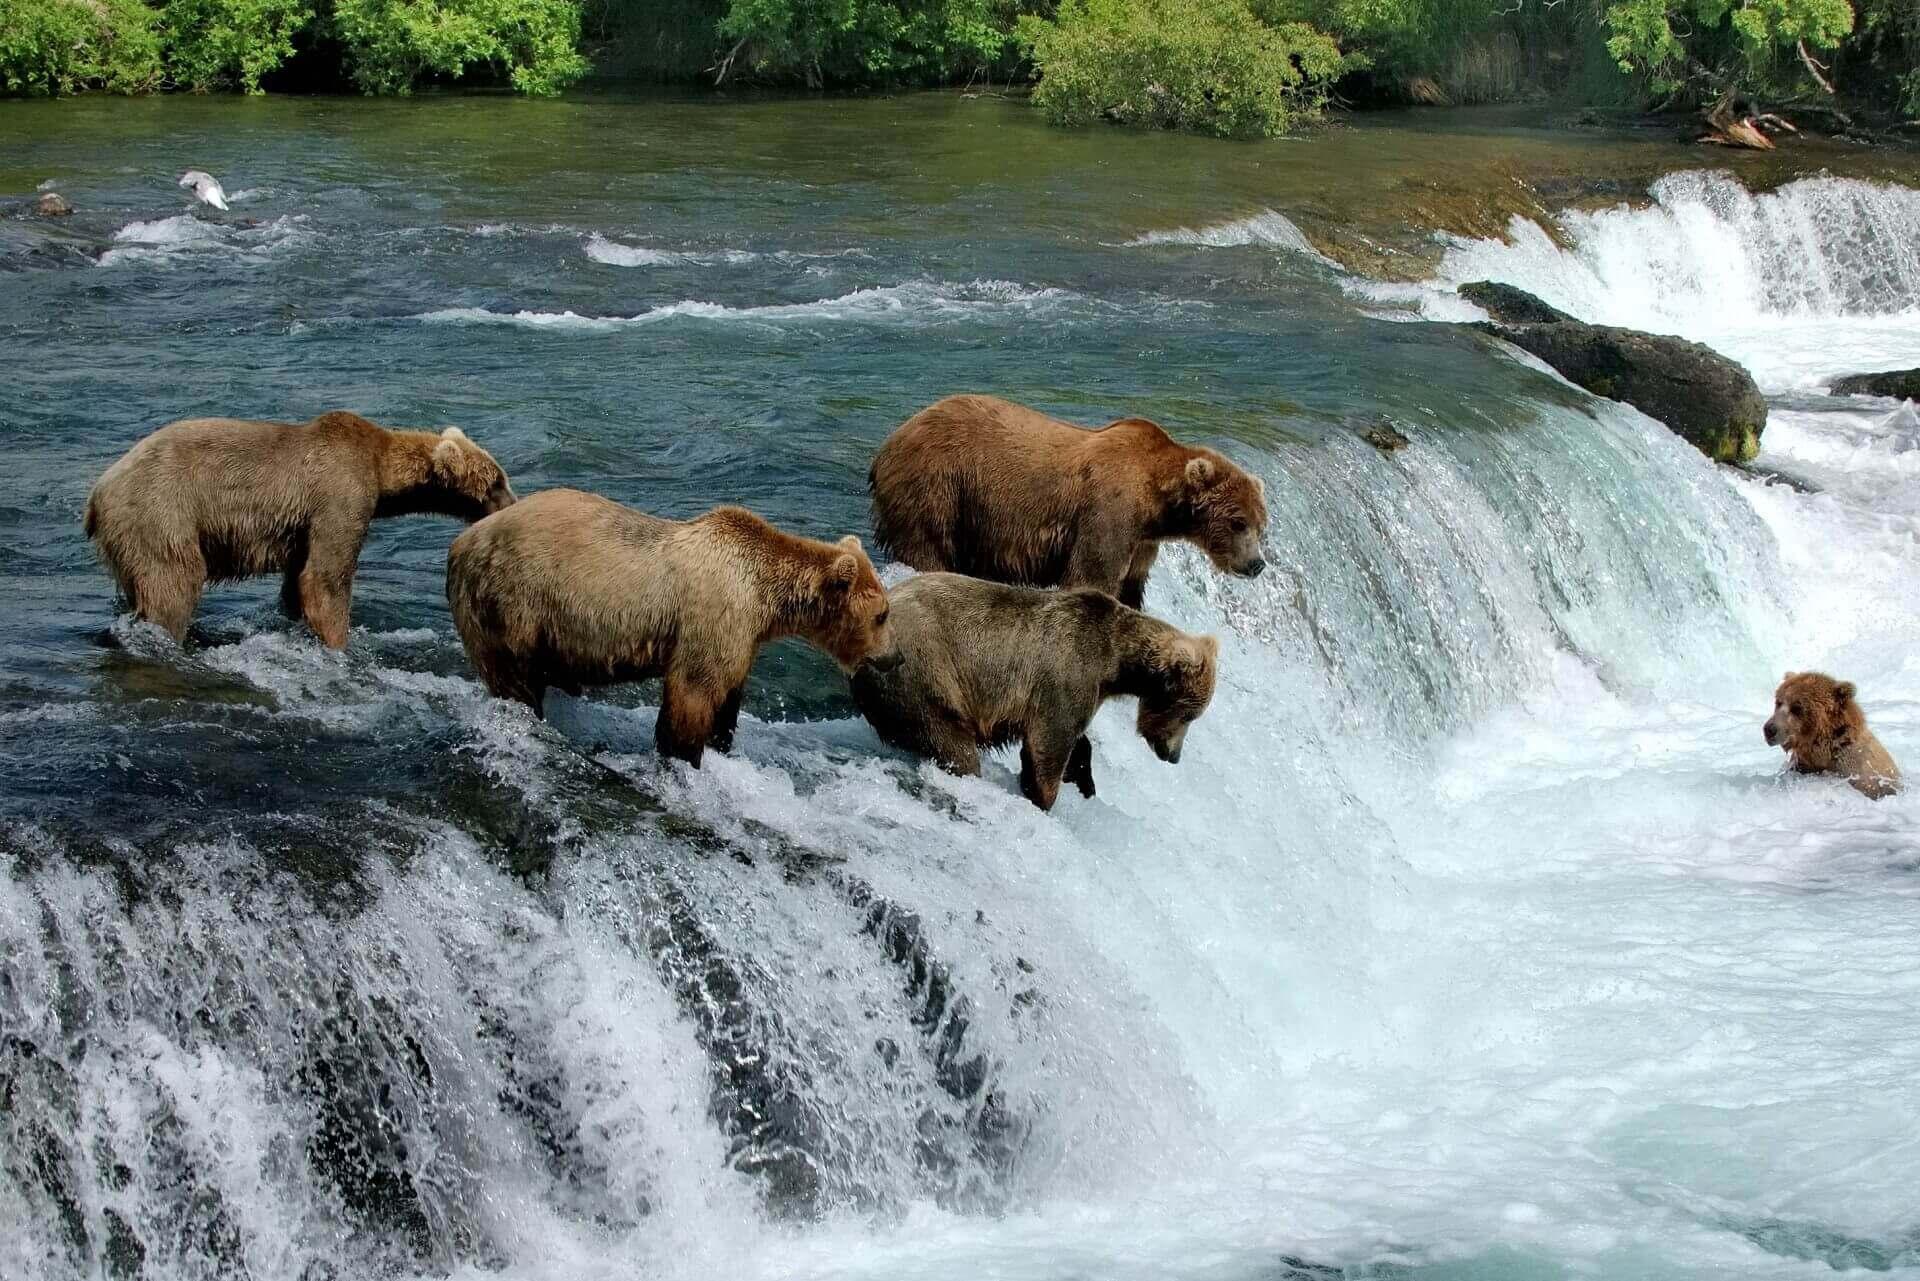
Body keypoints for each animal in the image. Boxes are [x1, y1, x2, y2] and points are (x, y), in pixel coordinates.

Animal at [85, 410, 514, 649]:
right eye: (496, 481)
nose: (513, 503)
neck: (381, 471)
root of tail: (98, 492)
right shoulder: (339, 493)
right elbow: (326, 576)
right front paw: (340, 643)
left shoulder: (301, 527)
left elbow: (297, 580)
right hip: (160, 512)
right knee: (172, 583)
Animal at [445, 488, 898, 766]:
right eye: (883, 613)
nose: (895, 657)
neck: (763, 596)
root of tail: (461, 543)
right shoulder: (712, 617)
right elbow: (692, 693)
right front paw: (683, 754)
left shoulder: (742, 636)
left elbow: (728, 695)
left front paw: (720, 743)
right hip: (511, 601)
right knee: (513, 679)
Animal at [848, 571, 1219, 810]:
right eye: (1189, 714)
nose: (1173, 755)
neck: (1115, 662)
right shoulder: (1068, 673)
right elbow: (1050, 743)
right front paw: (1043, 795)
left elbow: (1075, 741)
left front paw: (1083, 781)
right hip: (923, 673)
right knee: (951, 742)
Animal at [868, 394, 1269, 611]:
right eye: (1237, 522)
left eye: (1260, 525)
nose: (1256, 564)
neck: (1157, 503)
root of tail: (891, 438)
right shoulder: (1109, 513)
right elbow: (1091, 576)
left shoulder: (1142, 542)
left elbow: (1131, 587)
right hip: (938, 484)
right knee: (927, 544)